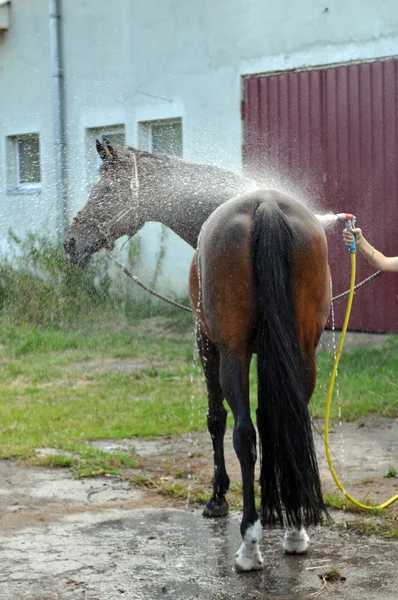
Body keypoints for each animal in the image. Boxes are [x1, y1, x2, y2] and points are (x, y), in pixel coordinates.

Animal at [189, 191, 330, 572]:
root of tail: (265, 204)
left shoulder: (206, 343)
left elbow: (217, 419)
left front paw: (218, 496)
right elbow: (269, 420)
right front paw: (272, 509)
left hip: (233, 353)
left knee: (243, 434)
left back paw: (249, 545)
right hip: (301, 352)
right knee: (288, 423)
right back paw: (295, 529)